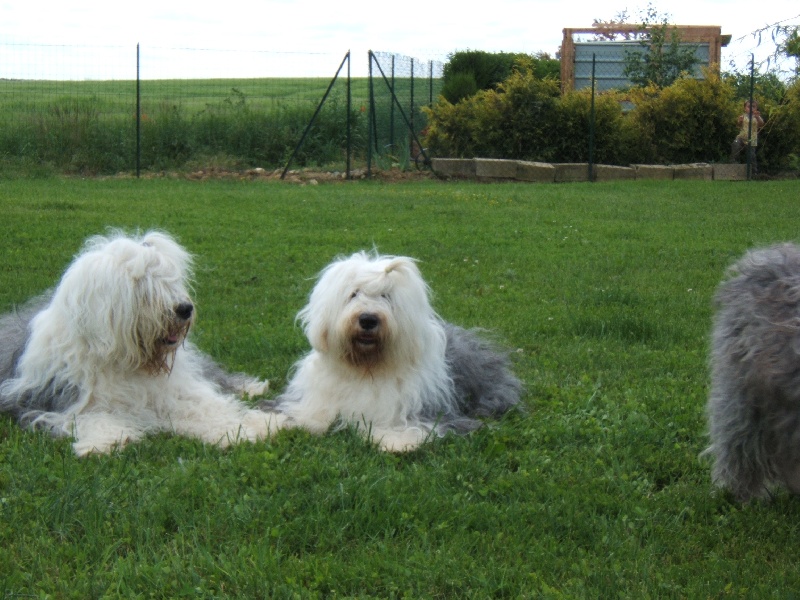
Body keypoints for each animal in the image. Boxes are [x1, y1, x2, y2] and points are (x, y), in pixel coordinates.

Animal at [0, 230, 282, 454]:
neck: (129, 360)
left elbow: (209, 406)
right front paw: (109, 440)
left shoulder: (176, 390)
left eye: (170, 280)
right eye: (143, 285)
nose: (185, 309)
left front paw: (255, 426)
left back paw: (252, 387)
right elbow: (90, 417)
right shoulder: (58, 400)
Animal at [262, 248, 520, 450]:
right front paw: (261, 424)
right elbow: (292, 412)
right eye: (353, 294)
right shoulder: (312, 399)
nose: (368, 319)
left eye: (386, 296)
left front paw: (397, 441)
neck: (366, 368)